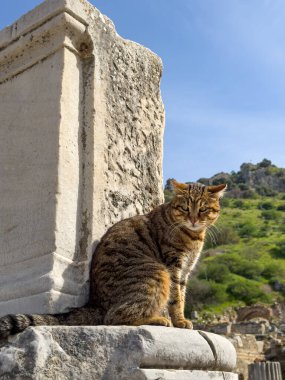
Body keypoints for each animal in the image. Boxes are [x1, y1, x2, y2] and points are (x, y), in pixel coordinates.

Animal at [0, 181, 225, 338]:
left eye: (203, 209)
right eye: (185, 208)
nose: (193, 219)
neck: (193, 235)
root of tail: (95, 302)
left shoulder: (185, 270)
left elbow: (183, 295)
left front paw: (182, 318)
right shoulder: (174, 267)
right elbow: (177, 299)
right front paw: (179, 321)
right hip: (156, 272)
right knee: (115, 317)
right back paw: (157, 320)